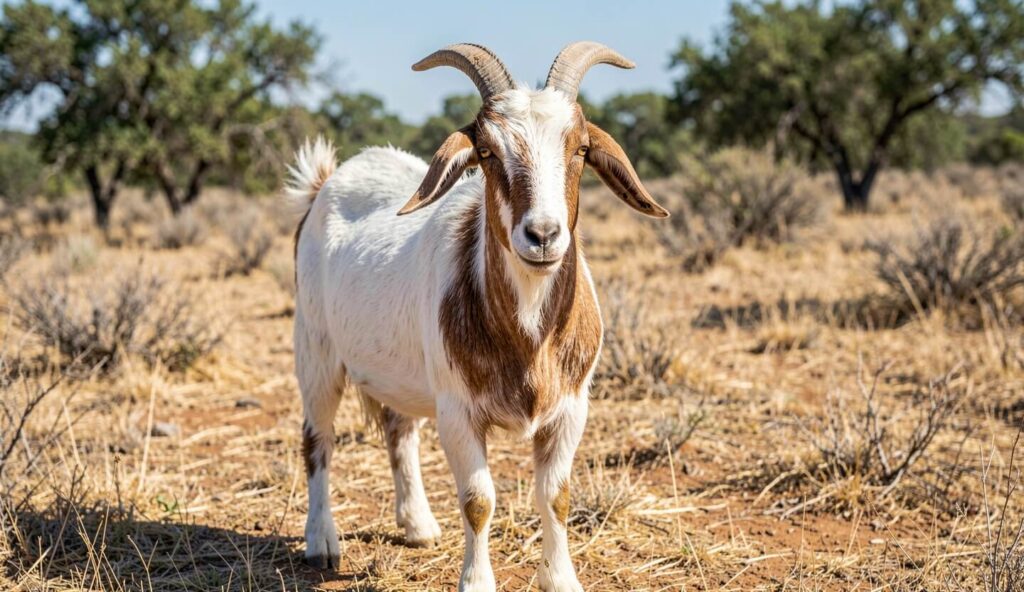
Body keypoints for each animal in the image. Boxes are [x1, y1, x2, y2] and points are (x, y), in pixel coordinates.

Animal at [286, 42, 669, 592]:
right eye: (486, 152)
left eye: (579, 149)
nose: (543, 235)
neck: (528, 340)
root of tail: (322, 186)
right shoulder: (459, 412)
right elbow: (478, 500)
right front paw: (476, 581)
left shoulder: (571, 409)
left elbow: (556, 496)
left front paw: (561, 579)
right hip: (316, 351)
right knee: (318, 438)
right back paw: (321, 542)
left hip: (397, 367)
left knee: (399, 431)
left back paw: (418, 526)